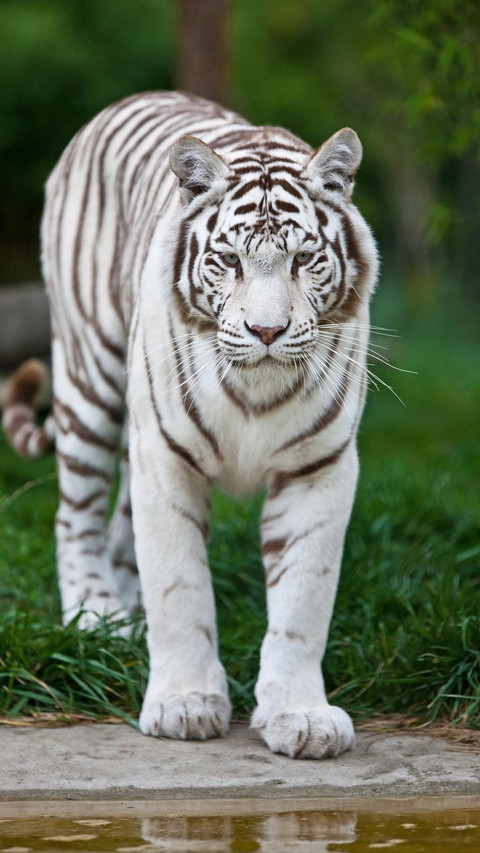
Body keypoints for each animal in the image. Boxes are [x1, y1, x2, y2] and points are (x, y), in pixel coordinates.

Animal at [3, 91, 378, 759]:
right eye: (229, 260)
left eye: (304, 260)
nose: (266, 331)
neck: (257, 390)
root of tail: (134, 97)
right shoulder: (166, 461)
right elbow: (178, 588)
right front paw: (185, 703)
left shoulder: (319, 467)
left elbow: (303, 603)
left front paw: (301, 716)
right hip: (89, 378)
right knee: (76, 517)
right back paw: (95, 618)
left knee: (119, 535)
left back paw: (124, 623)